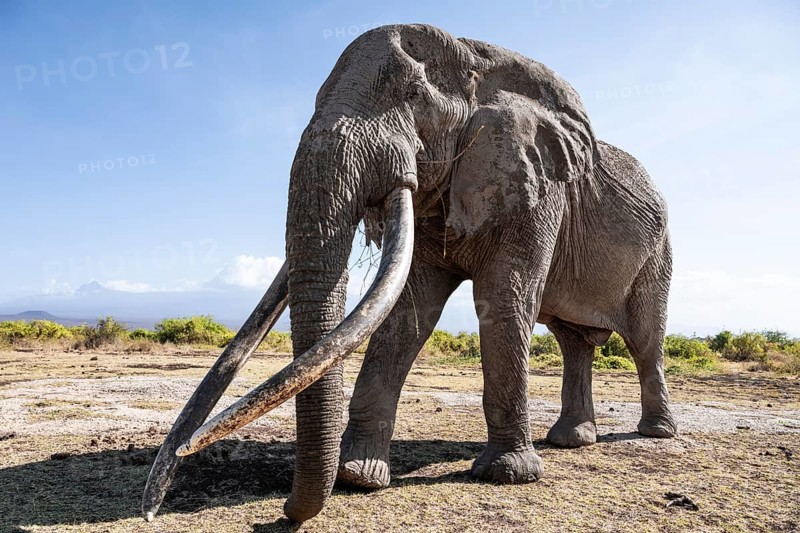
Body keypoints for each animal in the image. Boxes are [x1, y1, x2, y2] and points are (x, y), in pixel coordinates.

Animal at [142, 23, 677, 523]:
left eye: (415, 97)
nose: (285, 512)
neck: (480, 55)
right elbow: (405, 312)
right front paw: (358, 476)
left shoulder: (537, 185)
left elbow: (504, 300)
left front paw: (507, 475)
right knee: (574, 342)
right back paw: (571, 440)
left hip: (660, 253)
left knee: (645, 339)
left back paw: (654, 433)